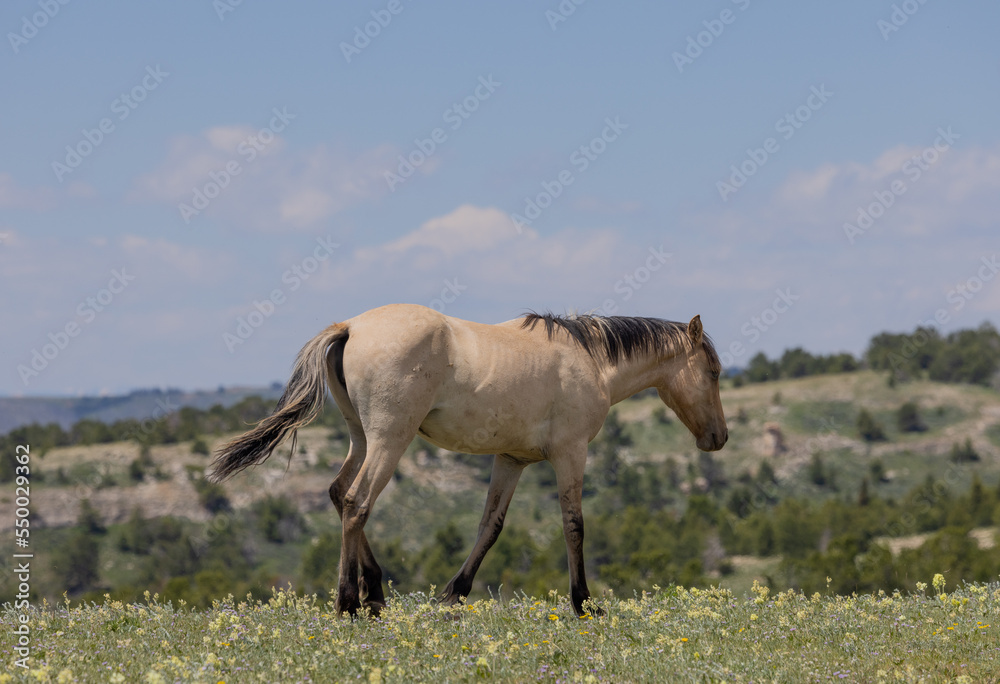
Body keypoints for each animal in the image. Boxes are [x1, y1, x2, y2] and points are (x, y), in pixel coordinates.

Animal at [210, 303, 728, 617]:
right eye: (714, 371)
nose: (719, 437)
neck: (592, 360)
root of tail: (352, 327)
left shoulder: (511, 460)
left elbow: (490, 527)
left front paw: (453, 594)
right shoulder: (570, 453)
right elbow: (574, 525)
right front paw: (584, 603)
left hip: (361, 438)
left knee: (339, 495)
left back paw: (375, 592)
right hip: (389, 439)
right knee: (357, 503)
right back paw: (350, 603)